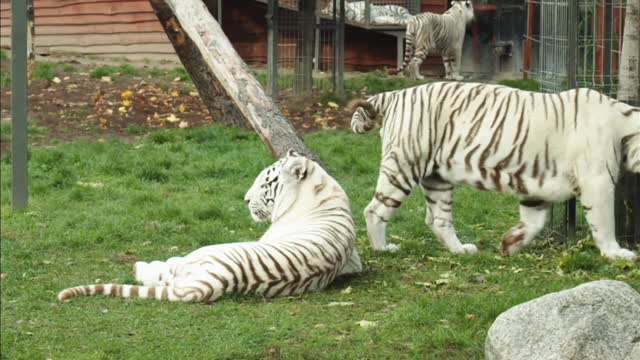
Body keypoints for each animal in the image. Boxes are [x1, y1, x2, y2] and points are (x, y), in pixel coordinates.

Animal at [58, 150, 362, 304]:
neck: (322, 189)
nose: (245, 199)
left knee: (165, 271)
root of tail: (218, 279)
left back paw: (140, 266)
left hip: (200, 255)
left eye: (265, 183)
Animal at [350, 81, 640, 260]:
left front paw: (510, 244)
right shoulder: (597, 182)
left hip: (437, 178)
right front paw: (616, 253)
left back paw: (460, 250)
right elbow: (604, 223)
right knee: (374, 210)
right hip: (404, 165)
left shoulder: (539, 186)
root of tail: (394, 94)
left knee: (438, 219)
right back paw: (383, 249)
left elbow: (534, 221)